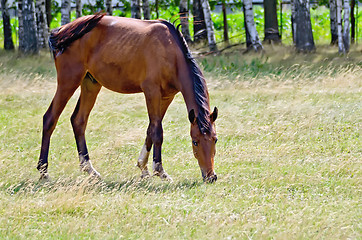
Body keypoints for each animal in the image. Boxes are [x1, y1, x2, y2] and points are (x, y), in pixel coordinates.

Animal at [37, 13, 218, 182]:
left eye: (215, 140)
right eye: (195, 141)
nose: (211, 176)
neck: (170, 51)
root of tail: (61, 31)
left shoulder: (166, 97)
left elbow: (150, 129)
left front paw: (143, 167)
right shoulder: (151, 92)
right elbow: (157, 131)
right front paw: (159, 170)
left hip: (90, 84)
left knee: (78, 121)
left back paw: (89, 169)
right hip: (69, 81)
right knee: (50, 118)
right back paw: (43, 171)